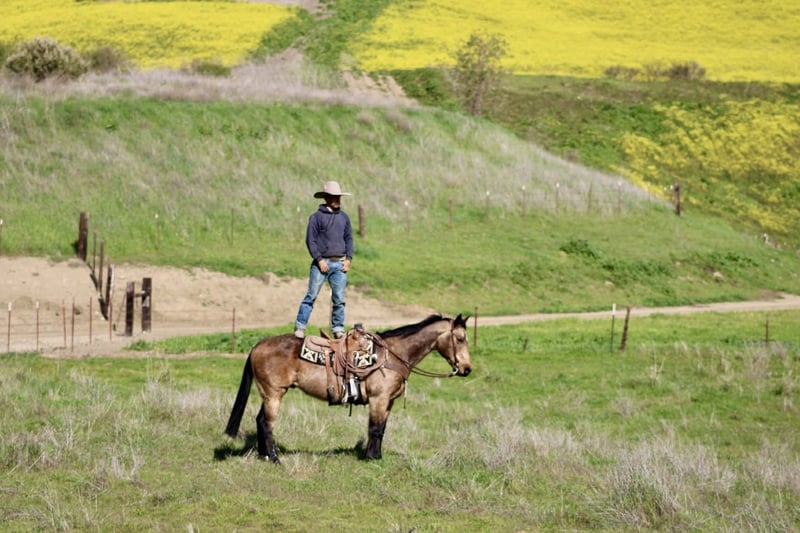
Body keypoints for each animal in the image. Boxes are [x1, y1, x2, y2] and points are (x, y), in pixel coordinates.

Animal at [224, 314, 472, 463]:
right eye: (460, 339)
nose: (467, 368)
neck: (391, 355)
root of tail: (258, 345)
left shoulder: (388, 402)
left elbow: (382, 429)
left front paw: (377, 456)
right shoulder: (379, 399)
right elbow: (375, 428)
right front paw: (371, 458)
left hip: (269, 394)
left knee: (259, 420)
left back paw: (264, 455)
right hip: (274, 394)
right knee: (267, 424)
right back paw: (275, 459)